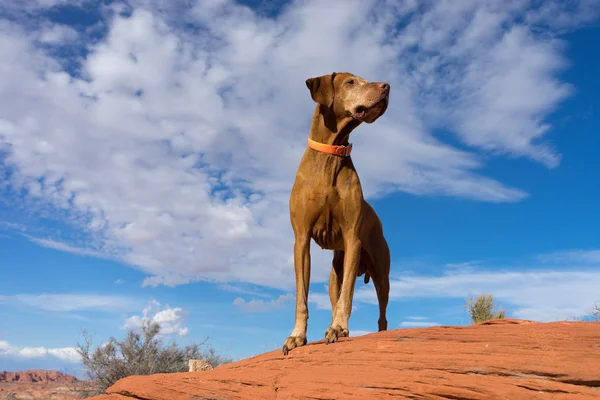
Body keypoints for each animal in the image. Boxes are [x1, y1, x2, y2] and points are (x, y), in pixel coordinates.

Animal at [282, 72, 392, 356]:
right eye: (351, 82)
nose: (386, 86)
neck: (331, 154)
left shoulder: (352, 238)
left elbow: (348, 296)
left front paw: (339, 327)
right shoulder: (301, 240)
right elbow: (301, 296)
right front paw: (296, 336)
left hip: (382, 275)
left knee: (382, 315)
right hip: (334, 274)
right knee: (335, 293)